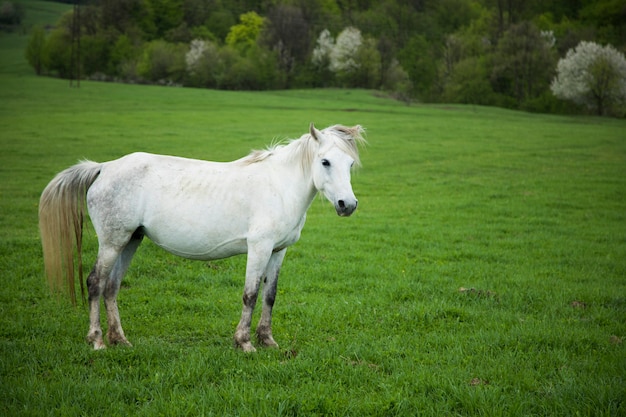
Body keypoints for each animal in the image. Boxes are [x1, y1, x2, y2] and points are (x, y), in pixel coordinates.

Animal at [39, 123, 364, 352]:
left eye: (350, 164)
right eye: (325, 162)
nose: (347, 205)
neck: (280, 186)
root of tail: (103, 168)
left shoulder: (278, 251)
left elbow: (269, 295)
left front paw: (267, 340)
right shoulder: (259, 248)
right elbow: (250, 294)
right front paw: (244, 343)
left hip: (130, 240)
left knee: (111, 286)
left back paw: (120, 339)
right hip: (112, 241)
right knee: (95, 282)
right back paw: (96, 340)